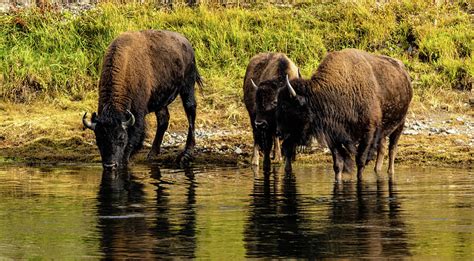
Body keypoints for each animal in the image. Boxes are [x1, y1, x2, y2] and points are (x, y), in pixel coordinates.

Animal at [83, 30, 202, 169]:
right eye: (98, 139)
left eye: (121, 138)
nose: (109, 165)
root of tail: (186, 43)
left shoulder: (137, 114)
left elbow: (133, 138)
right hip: (161, 100)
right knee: (163, 119)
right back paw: (152, 154)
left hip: (187, 86)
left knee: (190, 111)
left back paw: (186, 154)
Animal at [276, 48, 412, 180]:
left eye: (285, 107)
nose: (279, 132)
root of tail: (404, 72)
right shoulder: (333, 136)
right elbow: (338, 164)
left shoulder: (368, 132)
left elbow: (360, 161)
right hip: (383, 130)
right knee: (382, 148)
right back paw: (377, 170)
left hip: (400, 124)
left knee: (392, 149)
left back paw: (390, 171)